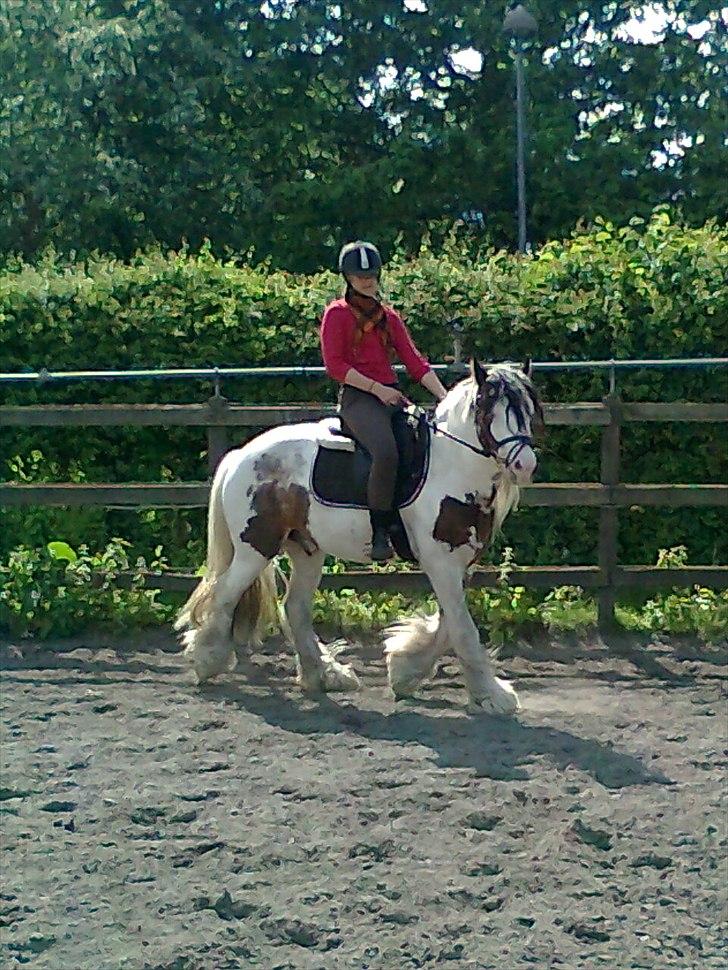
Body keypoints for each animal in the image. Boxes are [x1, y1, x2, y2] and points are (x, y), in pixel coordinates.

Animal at [175, 360, 540, 716]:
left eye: (528, 409)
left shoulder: (460, 561)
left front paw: (405, 672)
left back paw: (324, 675)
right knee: (224, 594)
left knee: (294, 607)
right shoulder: (441, 560)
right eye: (488, 407)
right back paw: (207, 661)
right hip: (256, 548)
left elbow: (449, 623)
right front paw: (491, 696)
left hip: (305, 548)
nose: (525, 464)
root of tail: (240, 455)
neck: (451, 466)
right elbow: (463, 627)